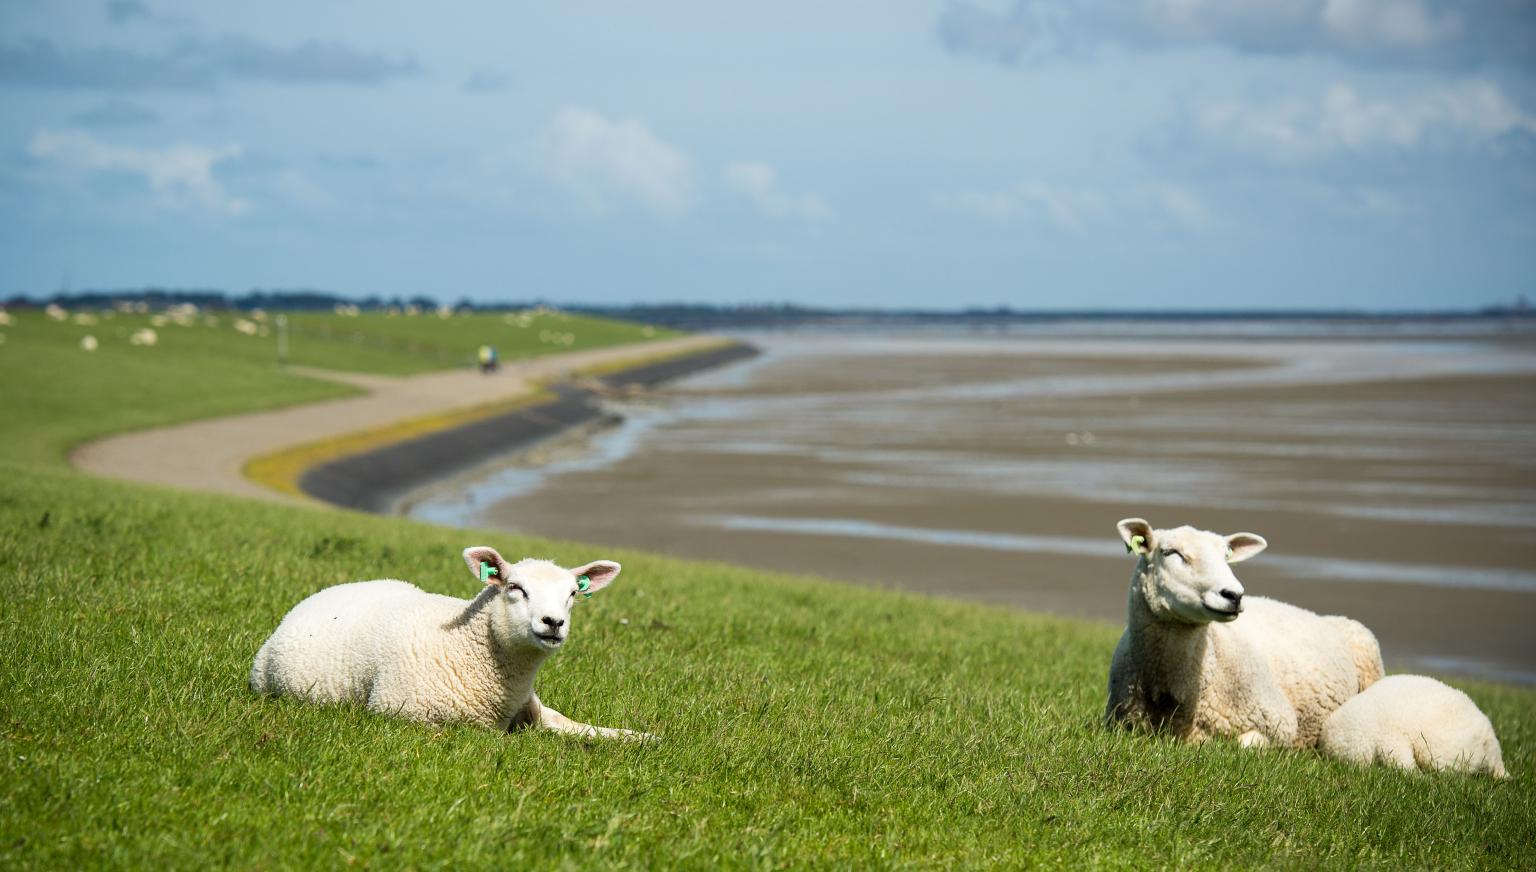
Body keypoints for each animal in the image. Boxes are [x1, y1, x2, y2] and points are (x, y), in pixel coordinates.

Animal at [247, 546, 654, 743]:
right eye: (514, 587)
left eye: (572, 594)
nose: (553, 622)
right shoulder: (402, 713)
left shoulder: (532, 707)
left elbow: (572, 725)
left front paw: (638, 738)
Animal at [1105, 518, 1382, 749]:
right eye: (1171, 553)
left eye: (1226, 555)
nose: (1234, 595)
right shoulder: (1122, 724)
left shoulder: (1280, 723)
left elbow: (1242, 744)